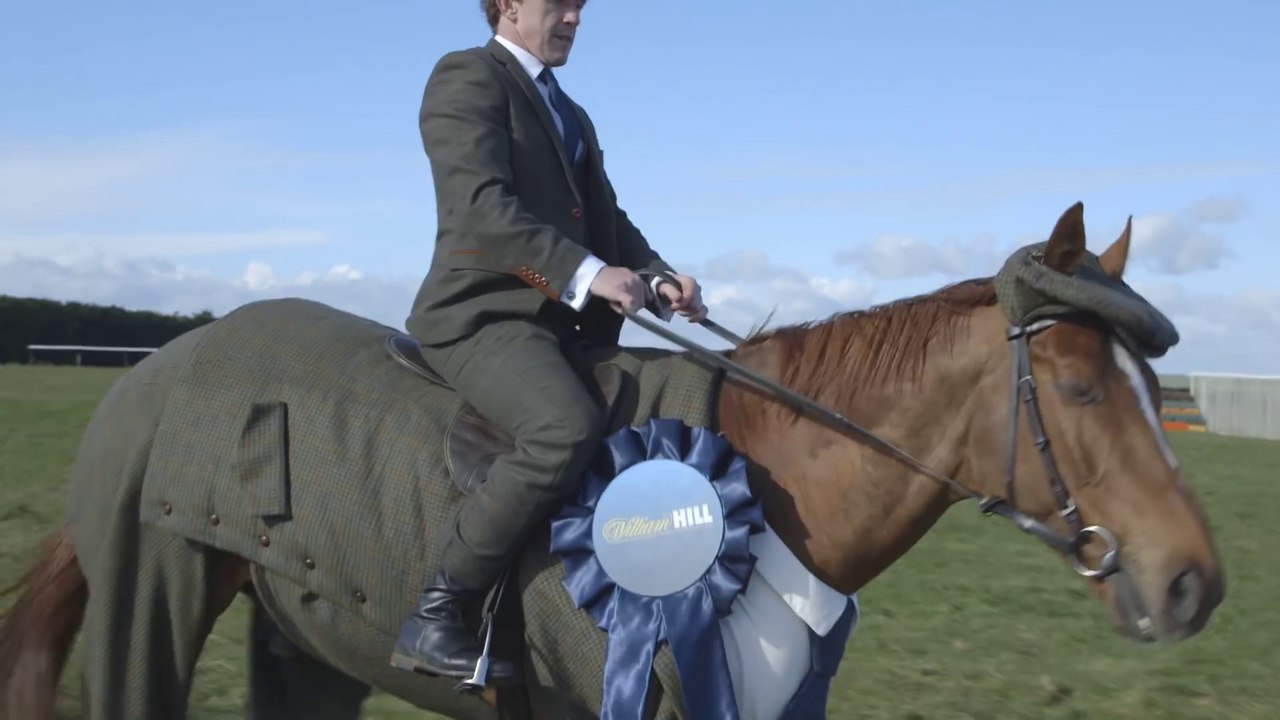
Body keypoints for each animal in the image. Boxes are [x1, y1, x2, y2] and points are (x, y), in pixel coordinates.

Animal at [0, 202, 1224, 719]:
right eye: (1078, 388)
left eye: (1151, 389)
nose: (1193, 585)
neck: (764, 487)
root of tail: (161, 368)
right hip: (153, 590)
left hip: (302, 639)